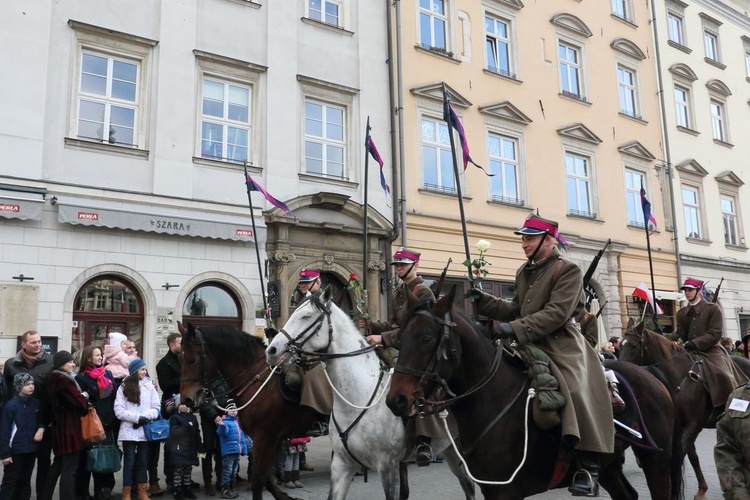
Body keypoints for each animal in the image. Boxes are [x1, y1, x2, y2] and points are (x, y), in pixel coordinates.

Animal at [179, 322, 314, 498]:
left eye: (191, 360)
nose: (186, 399)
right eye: (179, 358)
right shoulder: (268, 439)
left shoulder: (265, 437)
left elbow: (259, 481)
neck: (256, 379)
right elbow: (267, 479)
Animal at [264, 292, 476, 500]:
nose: (272, 350)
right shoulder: (342, 465)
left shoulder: (388, 467)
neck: (358, 399)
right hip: (452, 451)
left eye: (306, 316)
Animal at [384, 288, 684, 500]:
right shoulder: (492, 491)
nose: (395, 400)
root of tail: (650, 374)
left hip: (656, 460)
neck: (494, 400)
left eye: (426, 338)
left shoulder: (506, 492)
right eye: (400, 338)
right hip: (610, 465)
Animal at [620, 320, 750, 500]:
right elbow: (692, 455)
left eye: (633, 345)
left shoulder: (693, 425)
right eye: (620, 344)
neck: (678, 377)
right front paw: (702, 489)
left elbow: (679, 455)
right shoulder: (681, 426)